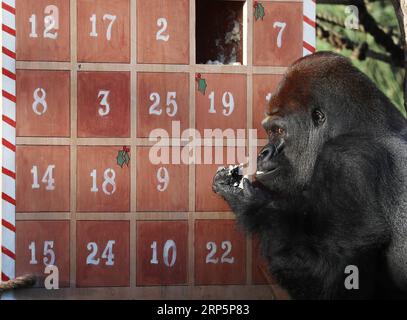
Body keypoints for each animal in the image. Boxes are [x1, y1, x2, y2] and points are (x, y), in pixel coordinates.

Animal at [212, 51, 407, 298]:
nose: (263, 152)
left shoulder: (346, 162)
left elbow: (333, 274)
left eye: (278, 130)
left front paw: (252, 204)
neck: (362, 126)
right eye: (269, 131)